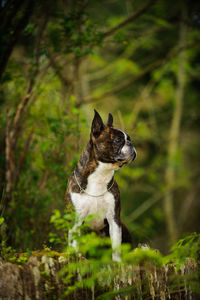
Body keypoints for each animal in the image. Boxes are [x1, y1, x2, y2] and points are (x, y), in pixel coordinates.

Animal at [65, 110, 137, 260]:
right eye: (118, 140)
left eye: (129, 138)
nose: (131, 143)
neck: (100, 175)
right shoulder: (76, 219)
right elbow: (75, 242)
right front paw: (77, 258)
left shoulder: (114, 219)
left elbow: (116, 247)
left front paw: (117, 262)